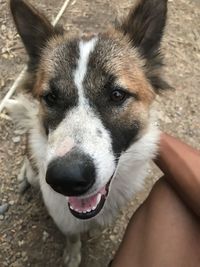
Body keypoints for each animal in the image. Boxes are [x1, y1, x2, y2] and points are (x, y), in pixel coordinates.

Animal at [7, 0, 170, 266]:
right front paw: (73, 254)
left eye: (117, 95)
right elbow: (72, 236)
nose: (67, 179)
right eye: (51, 97)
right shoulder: (65, 220)